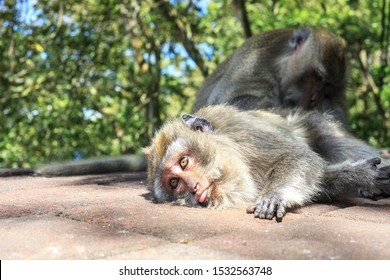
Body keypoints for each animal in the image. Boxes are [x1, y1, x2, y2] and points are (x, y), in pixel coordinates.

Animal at [144, 105, 390, 221]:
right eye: (174, 183)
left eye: (184, 162)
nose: (194, 187)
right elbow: (320, 179)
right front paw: (363, 176)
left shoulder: (246, 134)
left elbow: (298, 157)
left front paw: (274, 195)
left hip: (313, 122)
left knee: (331, 139)